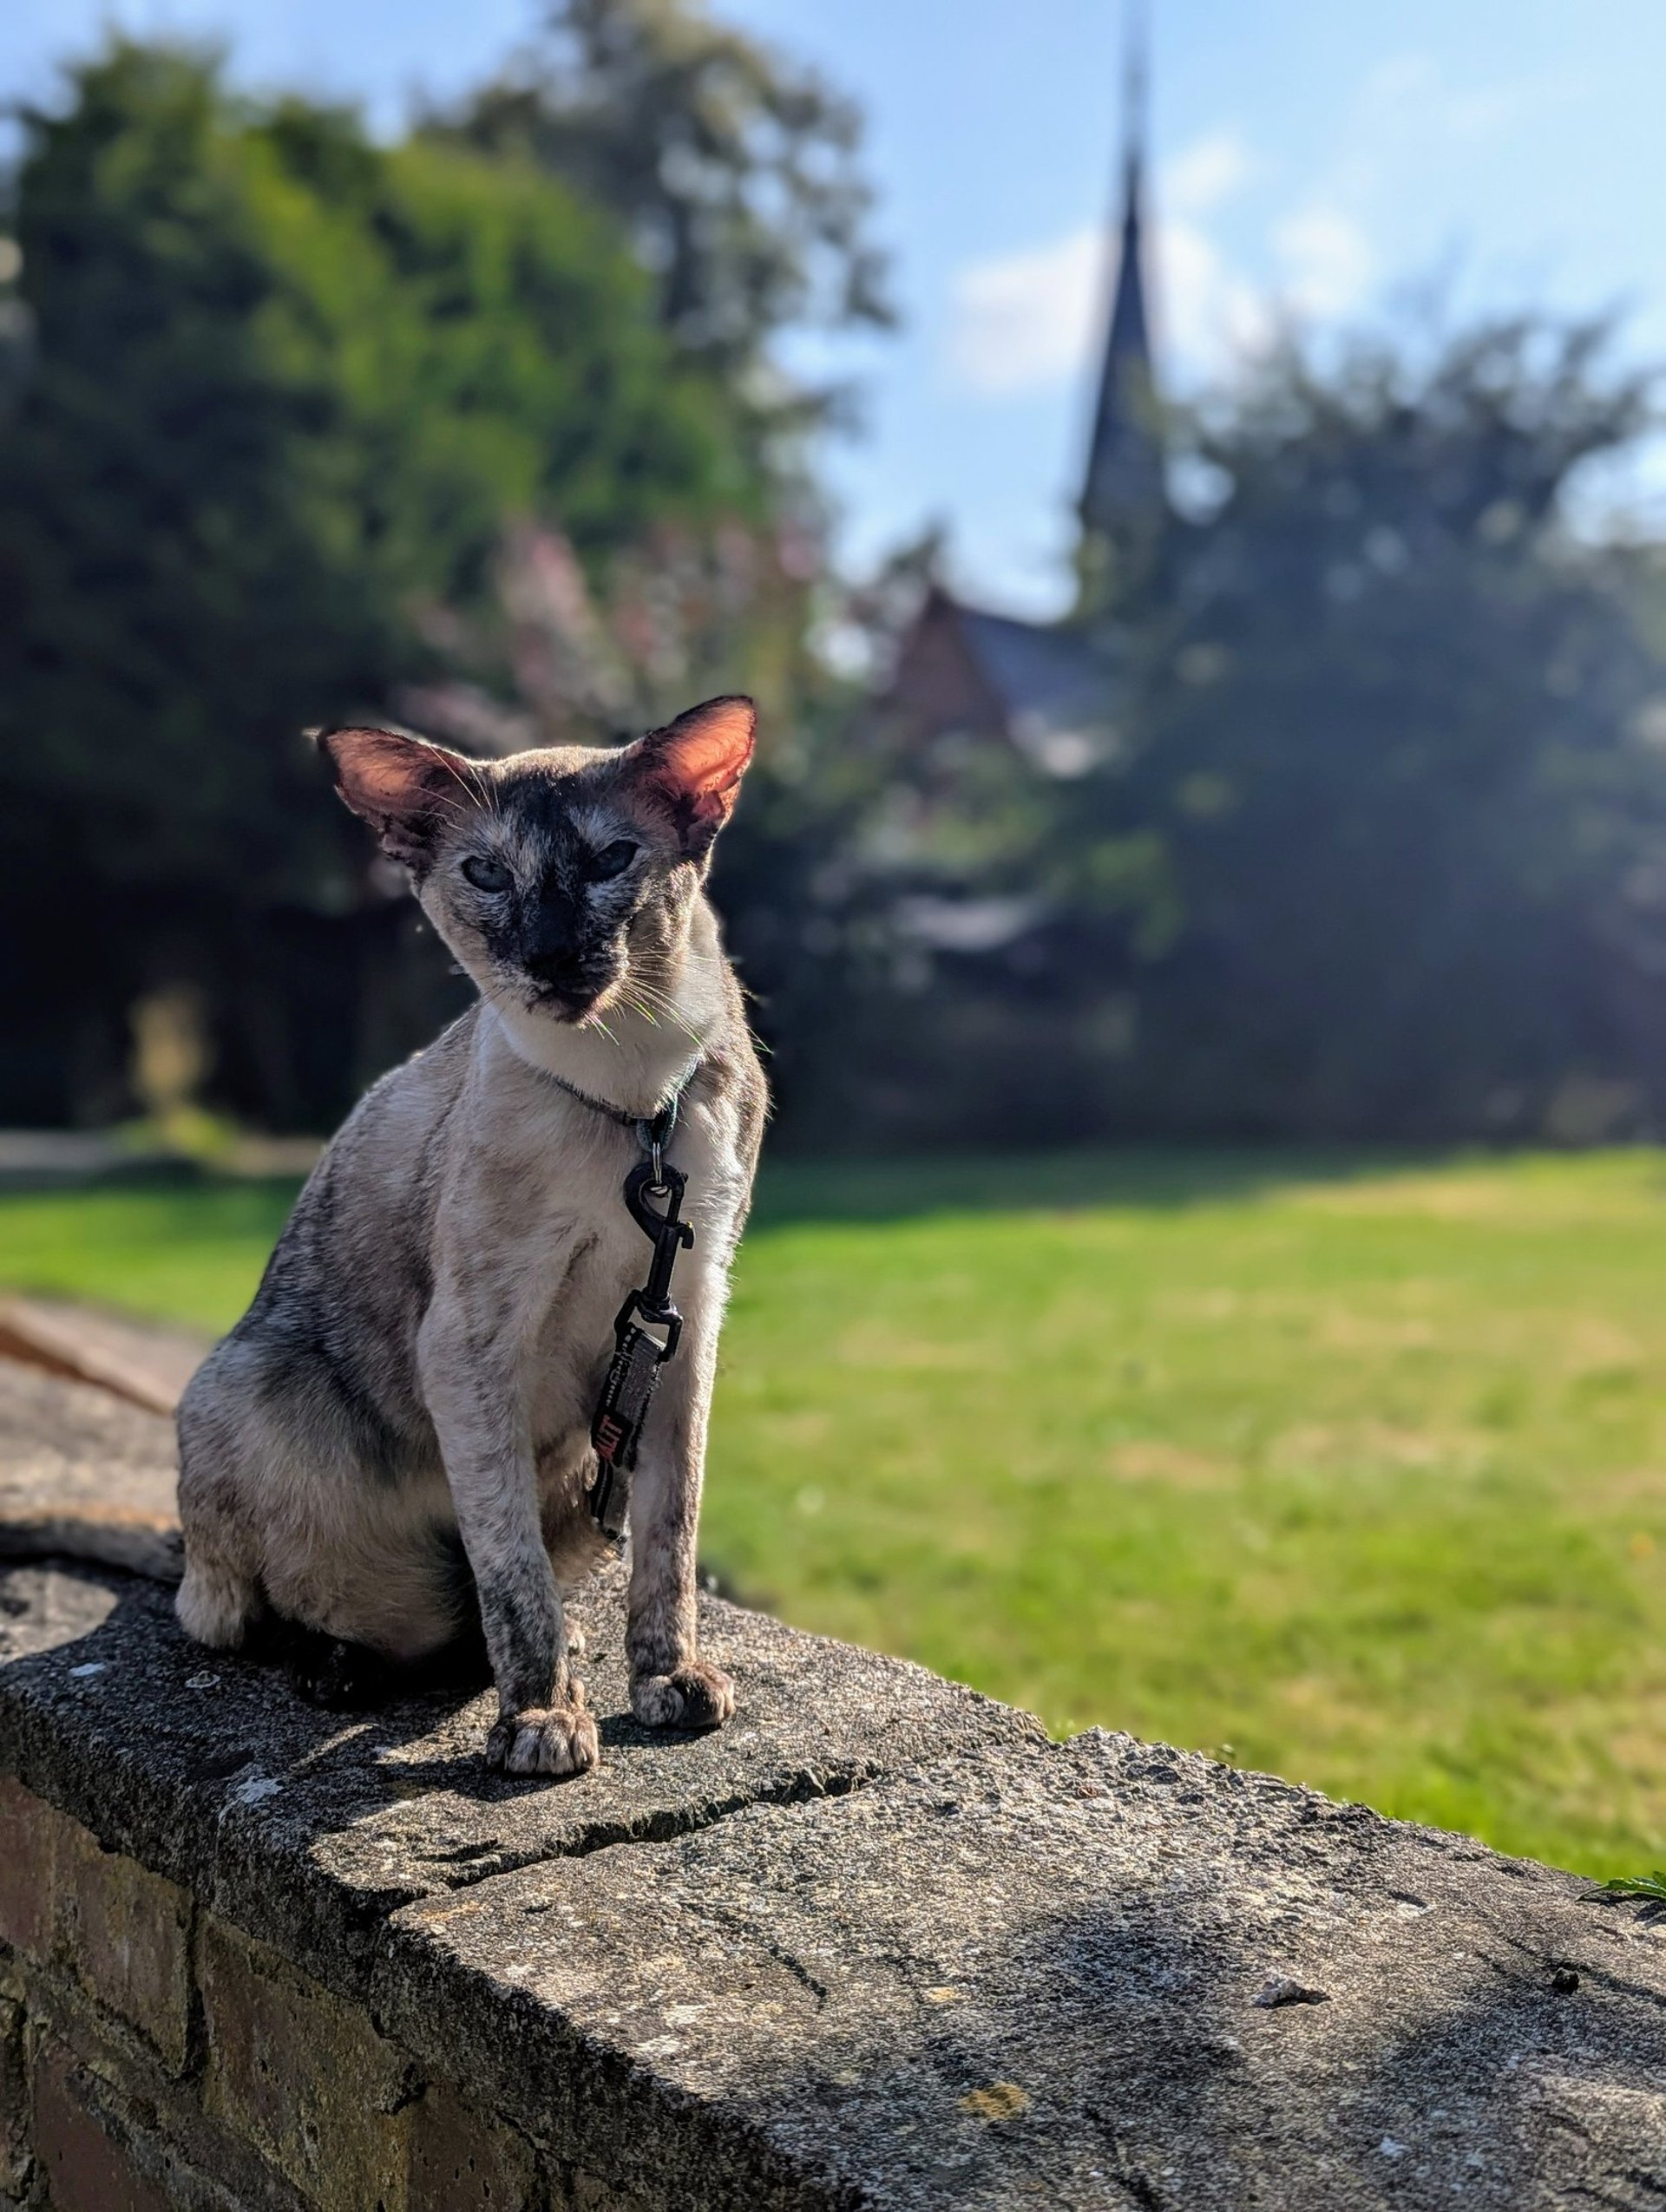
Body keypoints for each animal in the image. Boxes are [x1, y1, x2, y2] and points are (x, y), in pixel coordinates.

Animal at [173, 694, 765, 1776]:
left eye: (612, 859)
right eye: (487, 874)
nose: (552, 957)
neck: (636, 1099)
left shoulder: (686, 1323)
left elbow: (670, 1541)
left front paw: (665, 1681)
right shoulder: (471, 1344)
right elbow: (511, 1572)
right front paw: (540, 1721)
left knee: (462, 1613)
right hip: (252, 1395)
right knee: (261, 1614)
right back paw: (345, 1668)